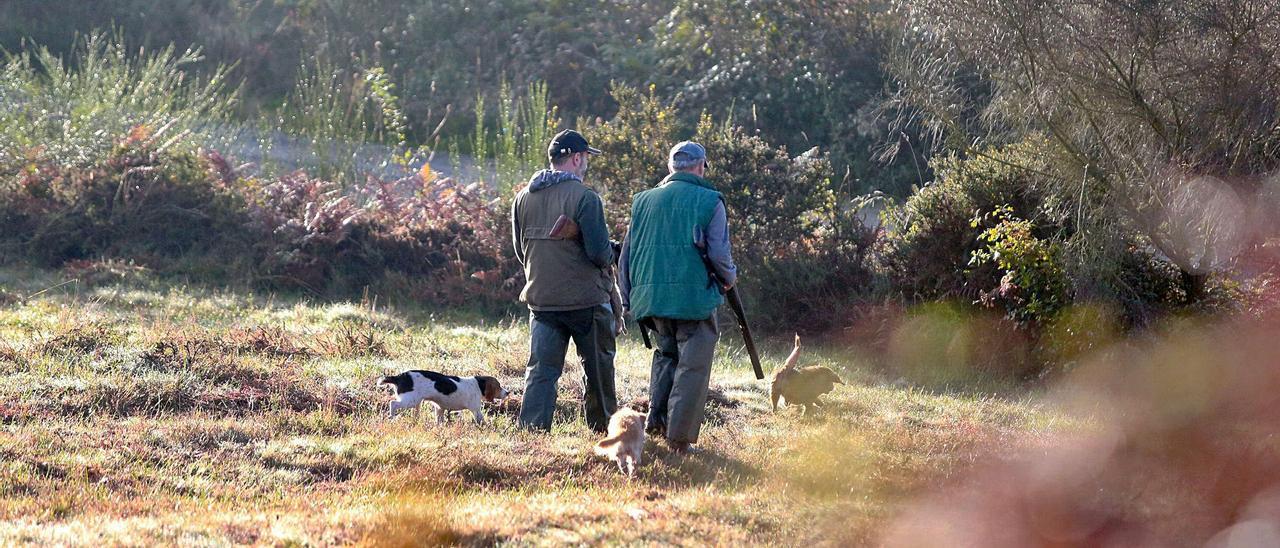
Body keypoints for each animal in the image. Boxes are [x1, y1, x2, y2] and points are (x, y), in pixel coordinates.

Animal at [376, 371, 506, 425]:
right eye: (499, 386)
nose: (508, 392)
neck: (478, 384)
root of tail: (399, 376)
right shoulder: (476, 410)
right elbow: (482, 420)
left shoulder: (439, 409)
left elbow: (439, 421)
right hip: (409, 401)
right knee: (393, 404)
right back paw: (392, 417)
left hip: (416, 403)